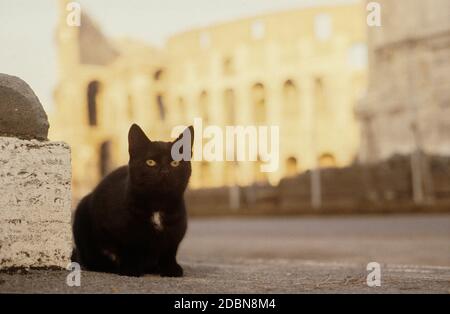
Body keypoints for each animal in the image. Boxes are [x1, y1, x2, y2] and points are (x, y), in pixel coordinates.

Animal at [71, 123, 193, 278]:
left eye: (175, 163)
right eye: (150, 162)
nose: (164, 171)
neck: (157, 205)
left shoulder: (176, 230)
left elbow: (169, 250)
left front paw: (171, 268)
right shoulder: (120, 233)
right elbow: (129, 248)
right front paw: (130, 269)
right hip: (82, 214)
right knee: (91, 257)